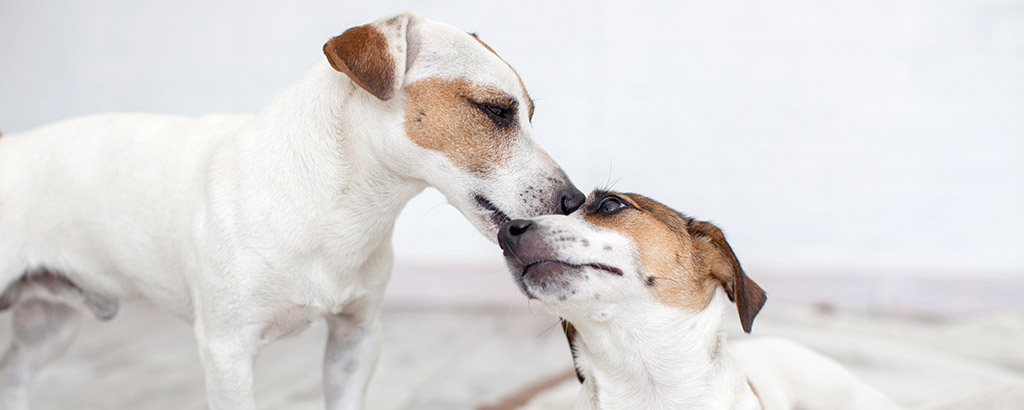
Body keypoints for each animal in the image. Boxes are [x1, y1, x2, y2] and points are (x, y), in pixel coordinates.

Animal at [0, 11, 585, 407]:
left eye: (529, 113)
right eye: (495, 111)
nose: (575, 201)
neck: (334, 206)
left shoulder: (356, 338)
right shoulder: (227, 351)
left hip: (47, 329)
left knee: (14, 376)